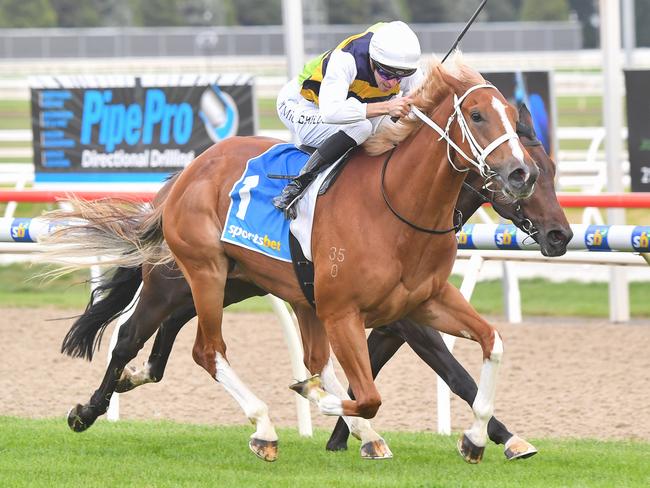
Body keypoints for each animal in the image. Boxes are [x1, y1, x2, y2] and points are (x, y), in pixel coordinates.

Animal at [44, 60, 536, 462]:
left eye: (515, 119)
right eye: (477, 116)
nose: (522, 173)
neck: (397, 207)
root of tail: (187, 172)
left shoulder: (425, 301)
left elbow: (492, 343)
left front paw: (476, 439)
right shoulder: (343, 312)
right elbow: (368, 393)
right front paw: (318, 400)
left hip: (240, 283)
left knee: (163, 337)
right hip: (199, 271)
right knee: (191, 347)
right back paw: (259, 426)